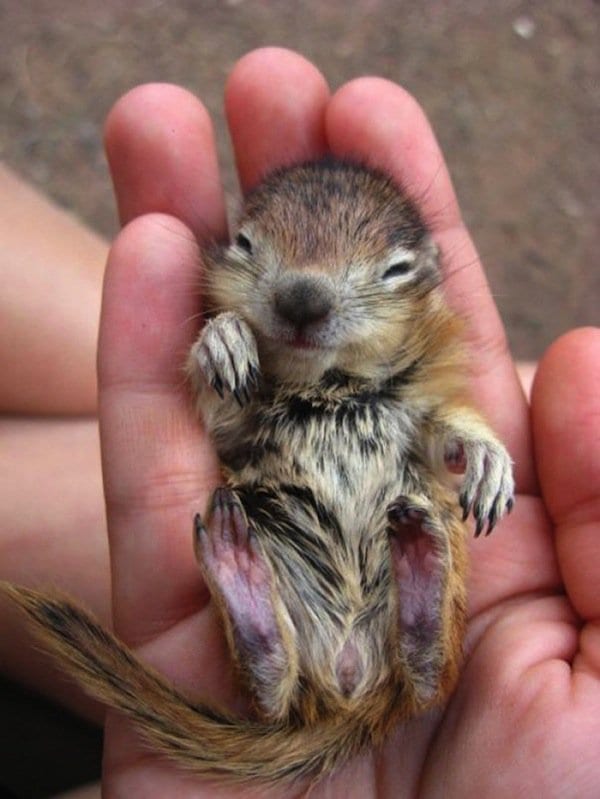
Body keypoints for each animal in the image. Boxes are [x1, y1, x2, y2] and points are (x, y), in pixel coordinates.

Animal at [2, 158, 512, 788]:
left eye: (396, 269)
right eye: (245, 243)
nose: (302, 300)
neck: (328, 384)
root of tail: (349, 691)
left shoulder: (418, 404)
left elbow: (446, 430)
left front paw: (489, 462)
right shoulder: (237, 426)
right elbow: (219, 400)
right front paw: (224, 338)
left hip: (439, 585)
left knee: (426, 681)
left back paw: (419, 562)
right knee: (276, 688)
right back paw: (240, 572)